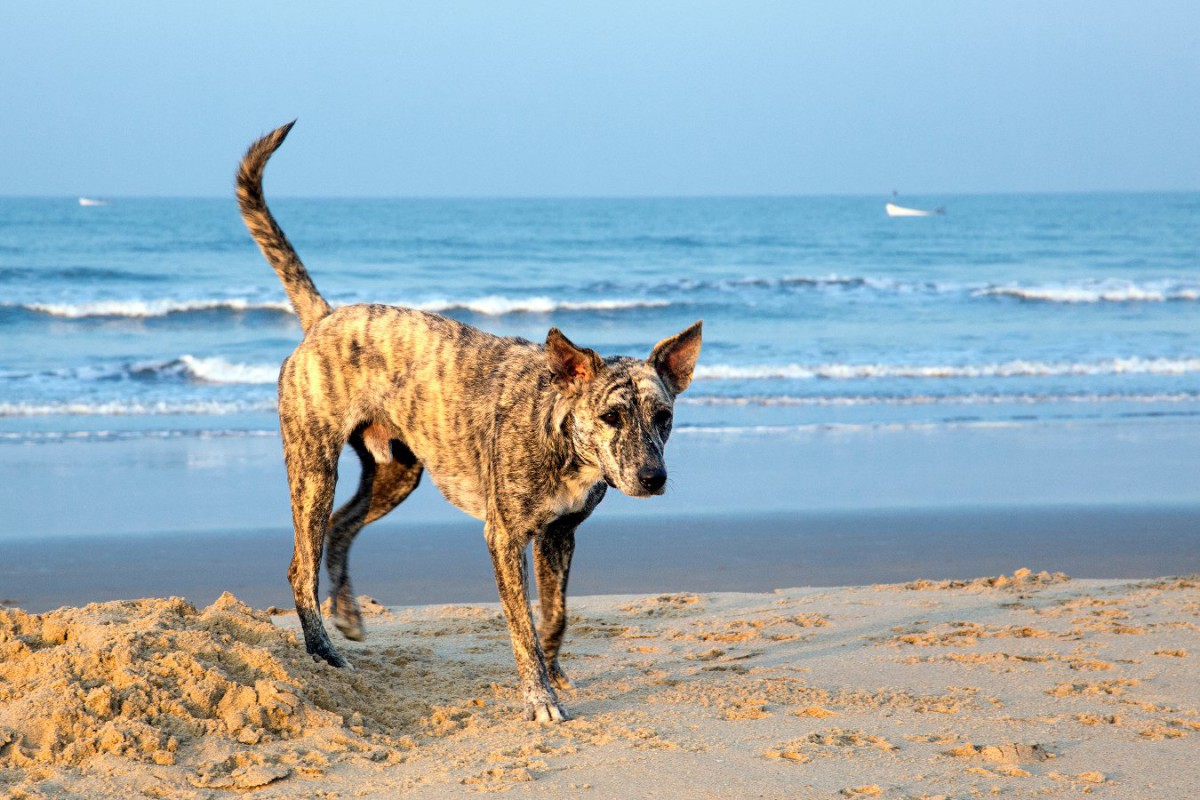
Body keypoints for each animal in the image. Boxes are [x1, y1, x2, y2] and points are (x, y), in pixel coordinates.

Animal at [235, 120, 700, 724]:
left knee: (340, 526)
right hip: (314, 466)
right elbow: (523, 626)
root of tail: (325, 318)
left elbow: (555, 616)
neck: (556, 431)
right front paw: (538, 698)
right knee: (300, 566)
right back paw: (324, 653)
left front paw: (554, 674)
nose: (653, 478)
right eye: (611, 416)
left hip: (396, 474)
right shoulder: (504, 537)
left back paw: (349, 615)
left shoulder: (559, 537)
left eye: (664, 417)